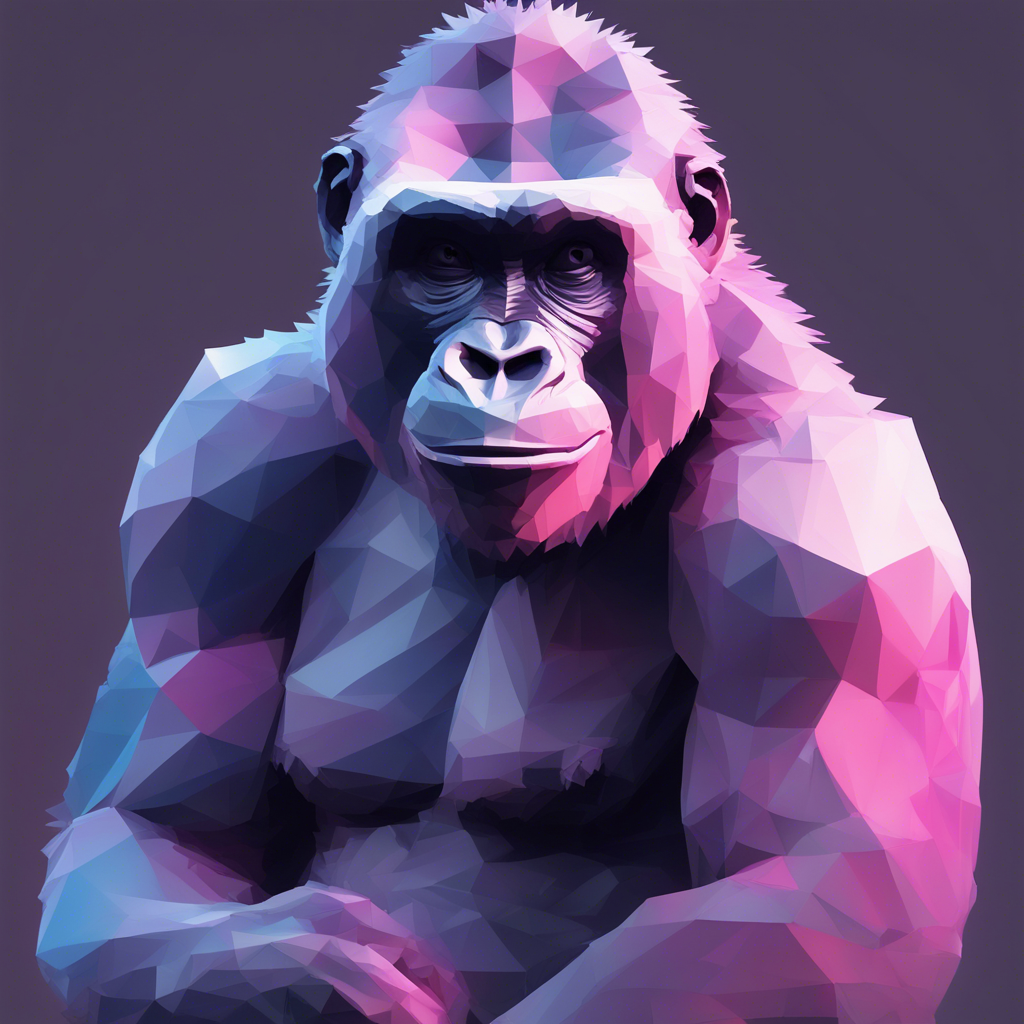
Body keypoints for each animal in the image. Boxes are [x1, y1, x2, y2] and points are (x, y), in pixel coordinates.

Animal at [37, 3, 981, 1023]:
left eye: (576, 259)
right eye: (446, 254)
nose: (499, 362)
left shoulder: (824, 511)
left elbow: (821, 899)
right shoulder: (215, 460)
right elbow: (151, 829)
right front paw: (310, 972)